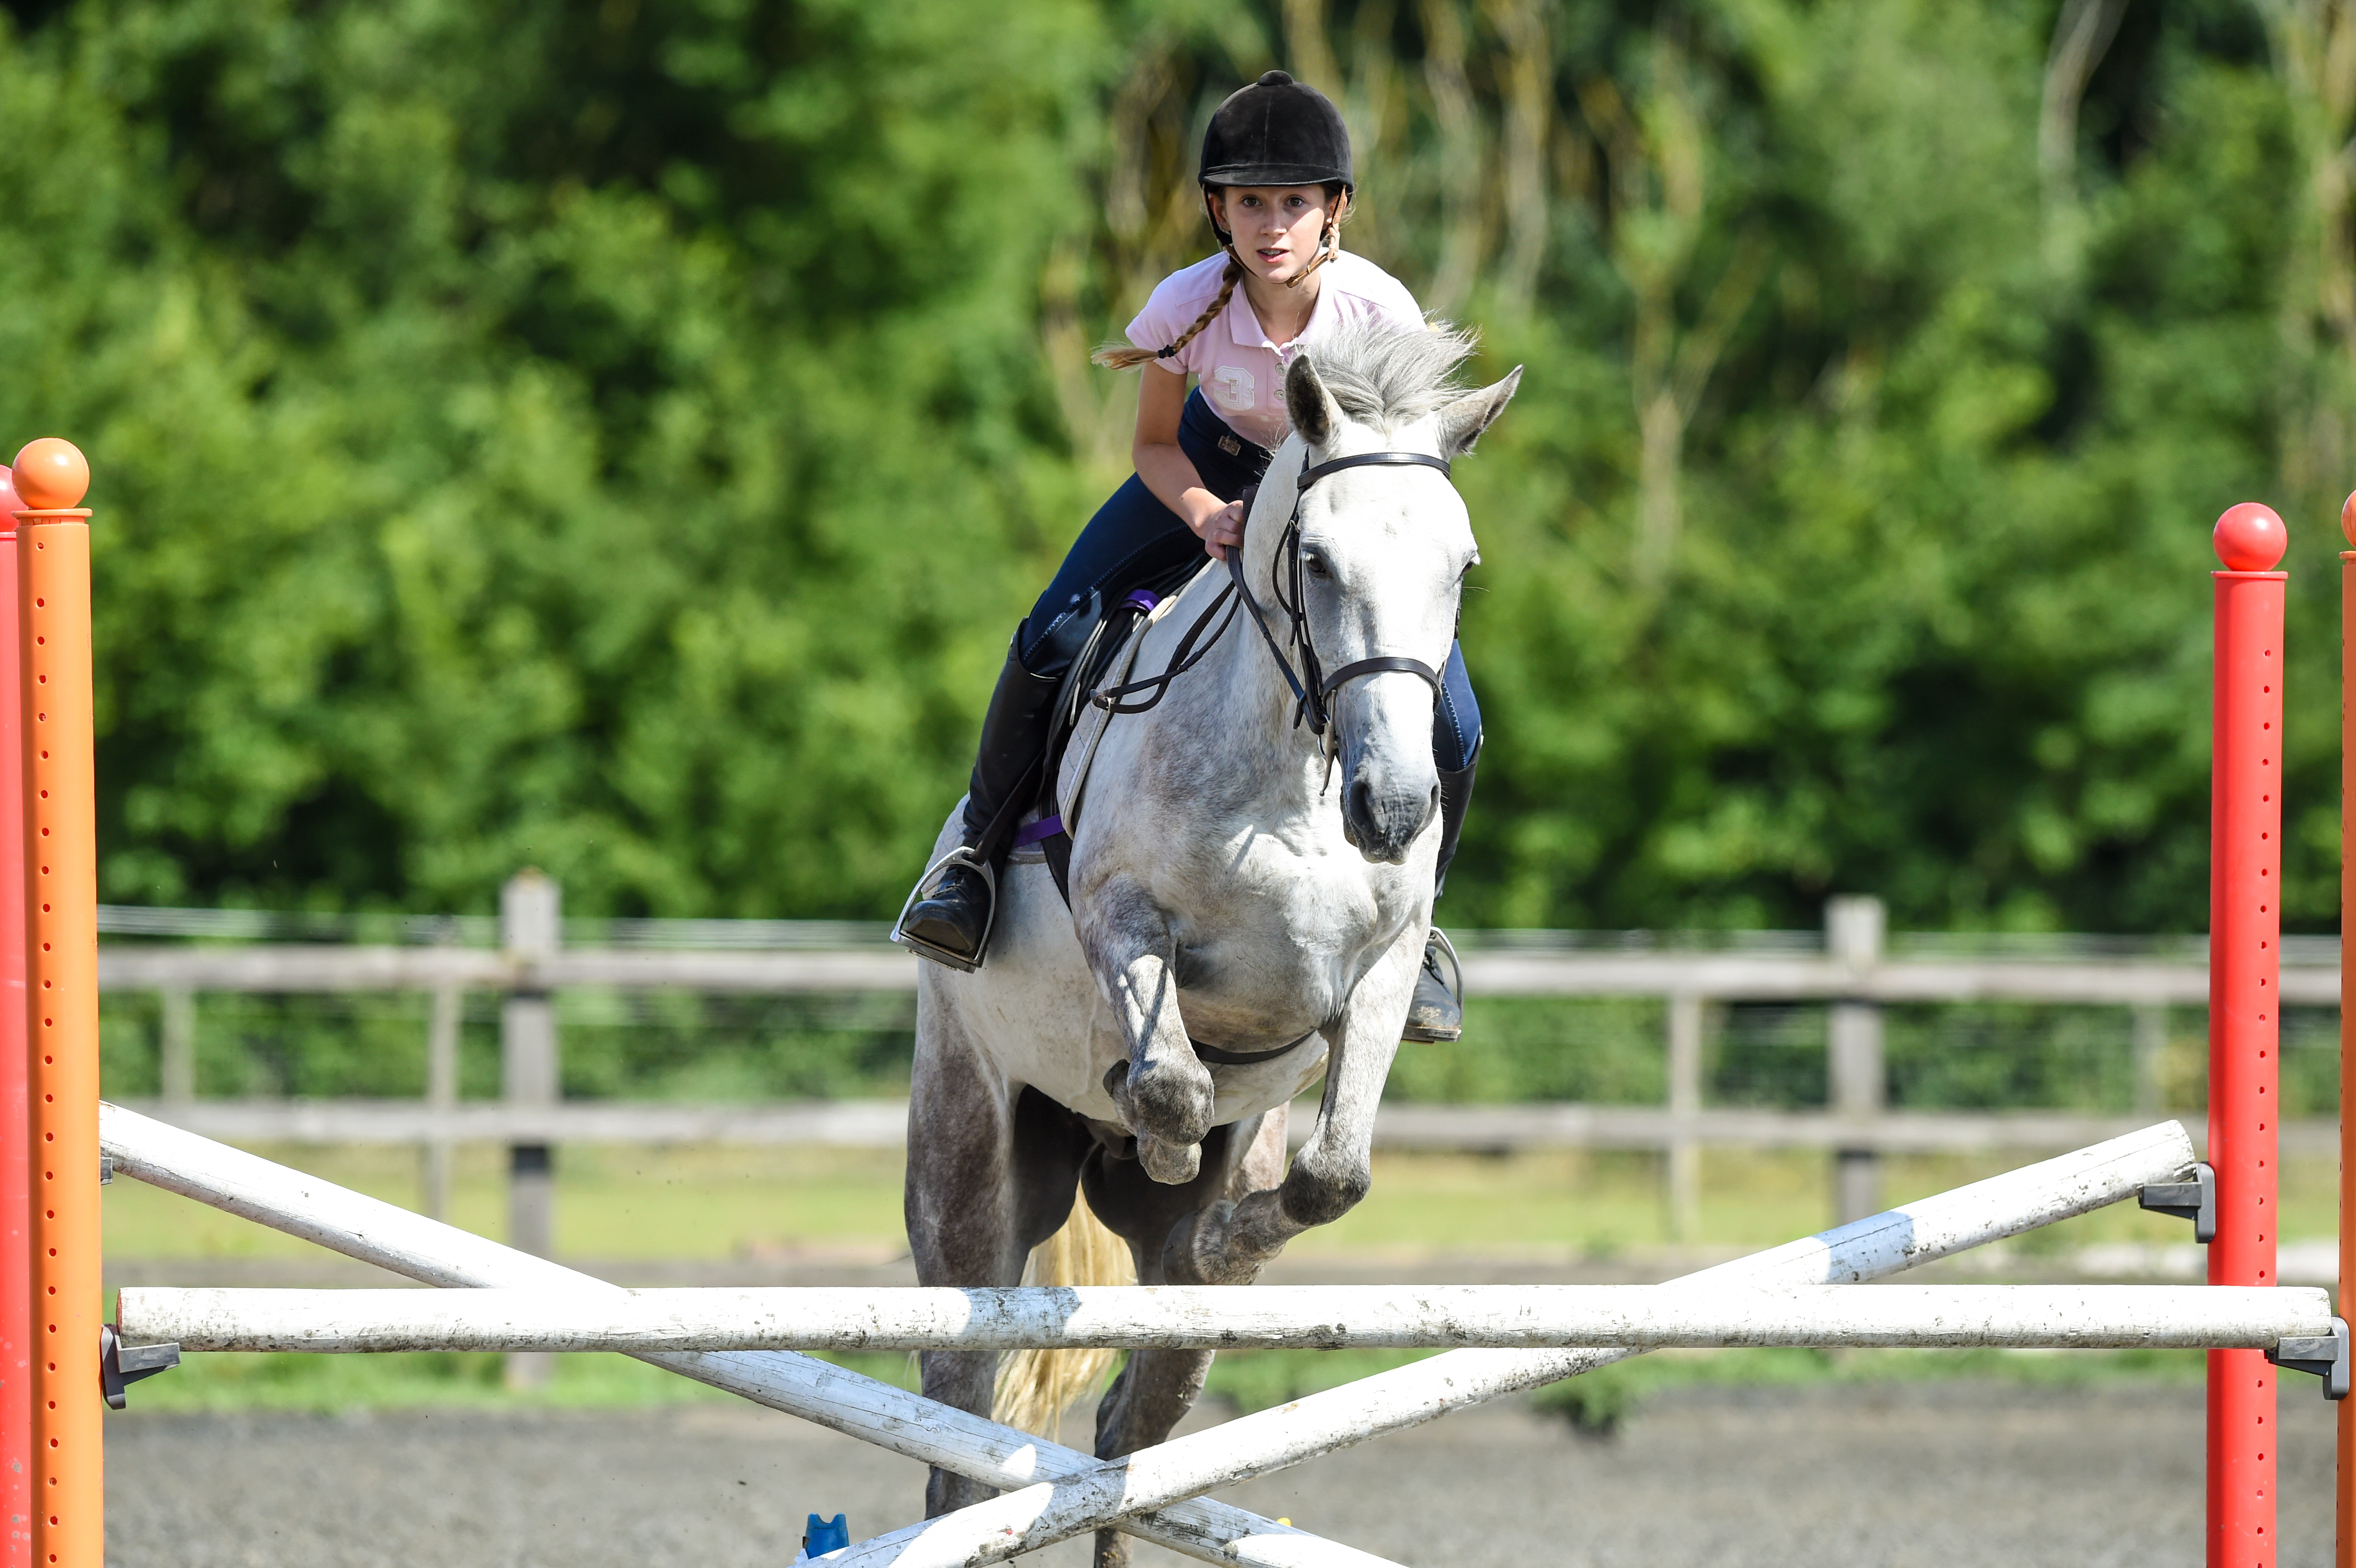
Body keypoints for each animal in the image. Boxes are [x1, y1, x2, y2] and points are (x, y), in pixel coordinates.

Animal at [904, 318, 1520, 1565]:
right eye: (1317, 561)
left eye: (1463, 567)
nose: (1394, 808)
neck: (1298, 766)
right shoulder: (1124, 918)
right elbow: (1175, 1085)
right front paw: (1165, 1143)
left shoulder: (1378, 972)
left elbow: (1334, 1172)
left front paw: (1231, 1235)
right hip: (971, 1172)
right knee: (957, 1421)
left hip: (1171, 1321)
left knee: (1130, 1429)